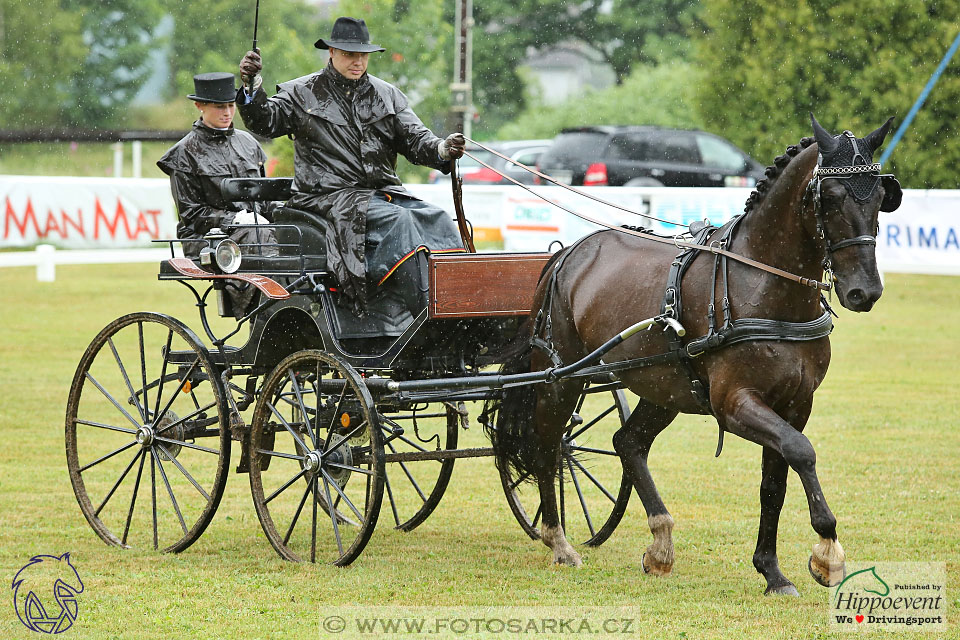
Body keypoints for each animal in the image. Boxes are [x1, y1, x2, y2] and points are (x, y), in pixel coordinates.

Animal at [492, 115, 904, 596]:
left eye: (880, 196)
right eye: (832, 197)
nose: (864, 291)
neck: (762, 286)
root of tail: (567, 254)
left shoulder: (796, 403)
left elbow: (774, 482)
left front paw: (771, 570)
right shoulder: (734, 403)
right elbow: (801, 452)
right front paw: (827, 551)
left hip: (662, 385)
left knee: (627, 443)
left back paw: (660, 544)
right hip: (562, 378)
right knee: (548, 446)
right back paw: (559, 542)